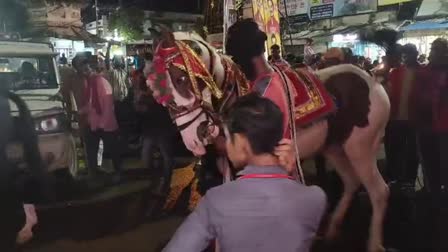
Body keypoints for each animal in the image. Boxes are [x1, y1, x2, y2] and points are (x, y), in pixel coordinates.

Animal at [149, 20, 390, 251]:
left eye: (181, 79)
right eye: (155, 91)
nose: (194, 139)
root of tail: (371, 79)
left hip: (360, 148)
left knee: (379, 191)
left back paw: (374, 243)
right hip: (334, 146)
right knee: (351, 182)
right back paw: (332, 229)